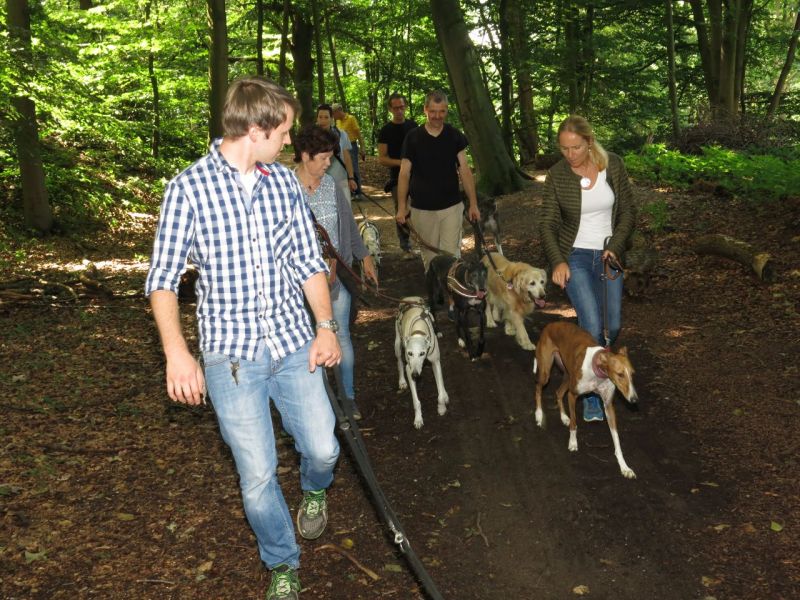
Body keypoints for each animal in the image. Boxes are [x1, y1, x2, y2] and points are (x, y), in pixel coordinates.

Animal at [395, 297, 449, 429]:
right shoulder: (409, 369)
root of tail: (408, 298)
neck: (418, 331)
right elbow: (416, 401)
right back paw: (402, 381)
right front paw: (418, 419)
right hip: (397, 344)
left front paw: (441, 408)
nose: (415, 375)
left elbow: (440, 390)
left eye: (422, 353)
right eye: (409, 353)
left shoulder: (435, 362)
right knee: (399, 362)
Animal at [533, 321, 638, 478]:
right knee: (538, 388)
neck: (598, 373)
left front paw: (624, 467)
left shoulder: (608, 405)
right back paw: (539, 415)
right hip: (546, 372)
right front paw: (572, 443)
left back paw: (564, 417)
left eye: (632, 374)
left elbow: (616, 439)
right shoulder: (572, 395)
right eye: (620, 374)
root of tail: (551, 325)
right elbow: (574, 424)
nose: (634, 400)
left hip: (567, 375)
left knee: (558, 392)